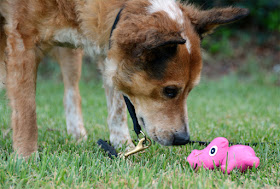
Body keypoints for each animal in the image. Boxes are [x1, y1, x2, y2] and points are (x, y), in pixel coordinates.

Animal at [0, 0, 248, 157]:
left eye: (190, 91)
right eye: (169, 90)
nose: (183, 140)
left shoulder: (109, 52)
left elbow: (117, 106)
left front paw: (123, 145)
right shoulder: (23, 41)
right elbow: (27, 111)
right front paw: (26, 156)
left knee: (71, 92)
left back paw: (77, 133)